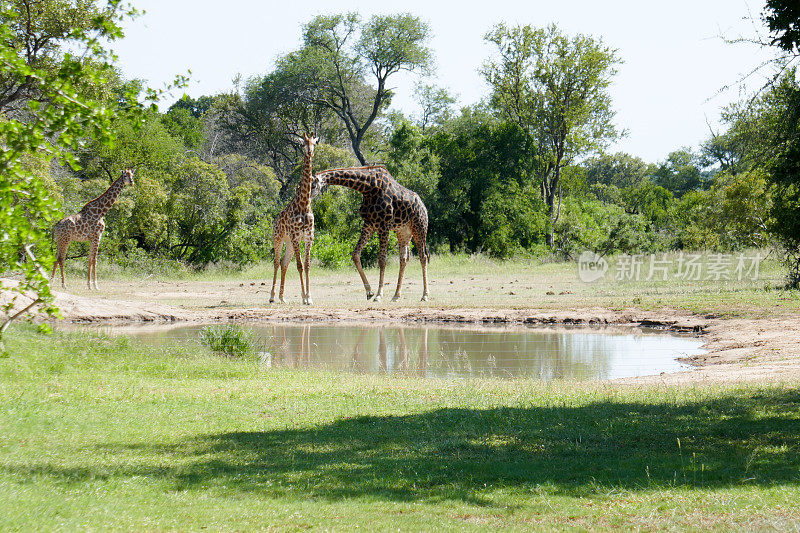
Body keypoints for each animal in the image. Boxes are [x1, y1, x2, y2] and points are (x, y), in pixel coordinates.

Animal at [270, 133, 324, 304]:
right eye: (302, 144)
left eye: (314, 143)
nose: (310, 152)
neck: (304, 204)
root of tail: (275, 221)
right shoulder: (295, 236)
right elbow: (299, 266)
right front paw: (305, 297)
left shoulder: (308, 237)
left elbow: (306, 265)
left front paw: (309, 297)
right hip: (279, 238)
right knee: (276, 262)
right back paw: (272, 297)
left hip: (289, 243)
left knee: (284, 263)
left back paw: (282, 297)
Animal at [314, 164, 432, 302]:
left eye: (313, 185)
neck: (368, 188)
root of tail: (424, 207)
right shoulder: (369, 224)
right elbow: (355, 254)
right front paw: (369, 292)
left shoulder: (383, 225)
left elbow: (382, 259)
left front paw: (379, 294)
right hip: (403, 232)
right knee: (404, 258)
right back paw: (396, 295)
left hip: (419, 228)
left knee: (423, 257)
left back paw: (425, 295)